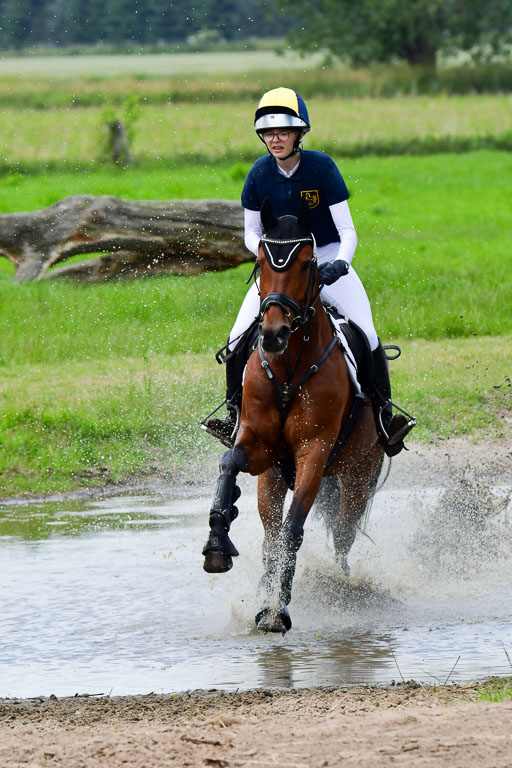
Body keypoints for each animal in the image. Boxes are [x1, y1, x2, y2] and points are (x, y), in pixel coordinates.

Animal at [202, 198, 384, 633]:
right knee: (270, 534)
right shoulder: (259, 447)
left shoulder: (314, 452)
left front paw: (277, 609)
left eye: (305, 264)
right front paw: (218, 541)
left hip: (358, 475)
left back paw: (340, 588)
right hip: (272, 477)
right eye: (260, 264)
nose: (273, 335)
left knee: (342, 538)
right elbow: (228, 462)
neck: (287, 371)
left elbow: (295, 527)